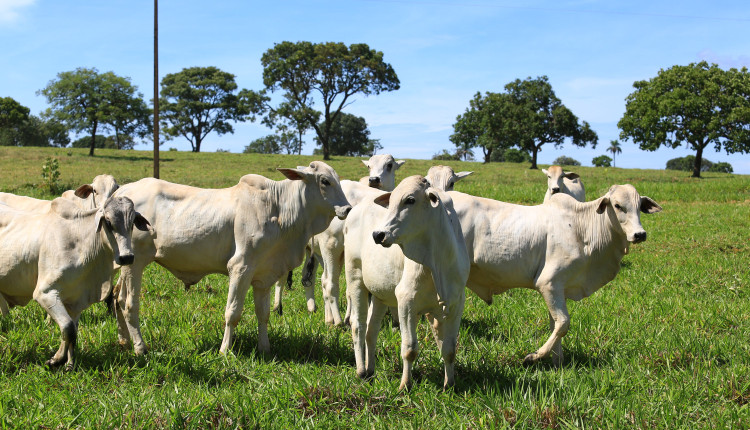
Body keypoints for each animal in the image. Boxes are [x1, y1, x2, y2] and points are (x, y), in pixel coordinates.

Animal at [0, 197, 151, 370]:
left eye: (132, 222)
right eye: (108, 222)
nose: (127, 257)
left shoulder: (75, 300)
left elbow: (73, 331)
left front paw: (69, 364)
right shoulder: (45, 293)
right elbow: (68, 328)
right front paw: (57, 360)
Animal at [113, 161, 354, 356]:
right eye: (325, 181)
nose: (348, 209)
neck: (278, 208)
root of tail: (123, 191)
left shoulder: (264, 274)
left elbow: (263, 314)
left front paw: (265, 348)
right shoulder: (241, 268)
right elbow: (233, 313)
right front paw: (225, 350)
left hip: (125, 263)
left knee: (117, 298)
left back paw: (124, 341)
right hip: (135, 263)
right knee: (129, 304)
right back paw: (139, 347)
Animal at [346, 175, 470, 390]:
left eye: (410, 200)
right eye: (391, 201)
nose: (378, 234)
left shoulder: (456, 304)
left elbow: (449, 349)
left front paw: (449, 385)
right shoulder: (406, 302)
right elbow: (410, 348)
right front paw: (405, 385)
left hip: (380, 294)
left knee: (371, 330)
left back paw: (371, 371)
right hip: (355, 278)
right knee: (358, 325)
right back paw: (361, 370)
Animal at [450, 183, 660, 364]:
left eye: (639, 206)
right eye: (617, 205)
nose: (640, 234)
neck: (582, 228)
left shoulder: (560, 288)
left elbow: (556, 324)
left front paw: (558, 363)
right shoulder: (548, 283)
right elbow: (563, 323)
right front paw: (534, 356)